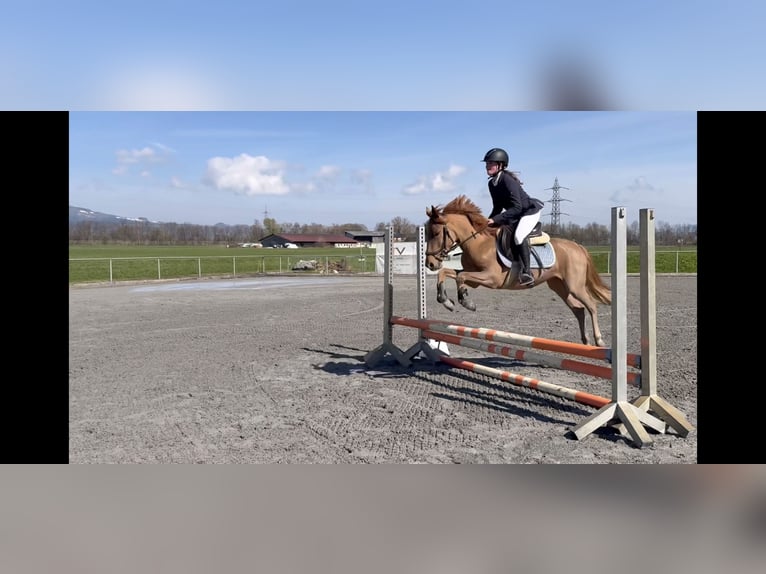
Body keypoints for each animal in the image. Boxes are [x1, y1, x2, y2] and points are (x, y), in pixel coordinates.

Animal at [424, 195, 611, 347]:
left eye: (435, 233)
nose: (430, 264)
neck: (478, 243)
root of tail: (577, 246)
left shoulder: (492, 278)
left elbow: (460, 277)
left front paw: (466, 302)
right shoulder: (475, 279)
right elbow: (448, 273)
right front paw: (446, 301)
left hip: (574, 286)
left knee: (592, 305)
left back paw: (599, 340)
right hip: (559, 286)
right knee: (579, 309)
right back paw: (585, 341)